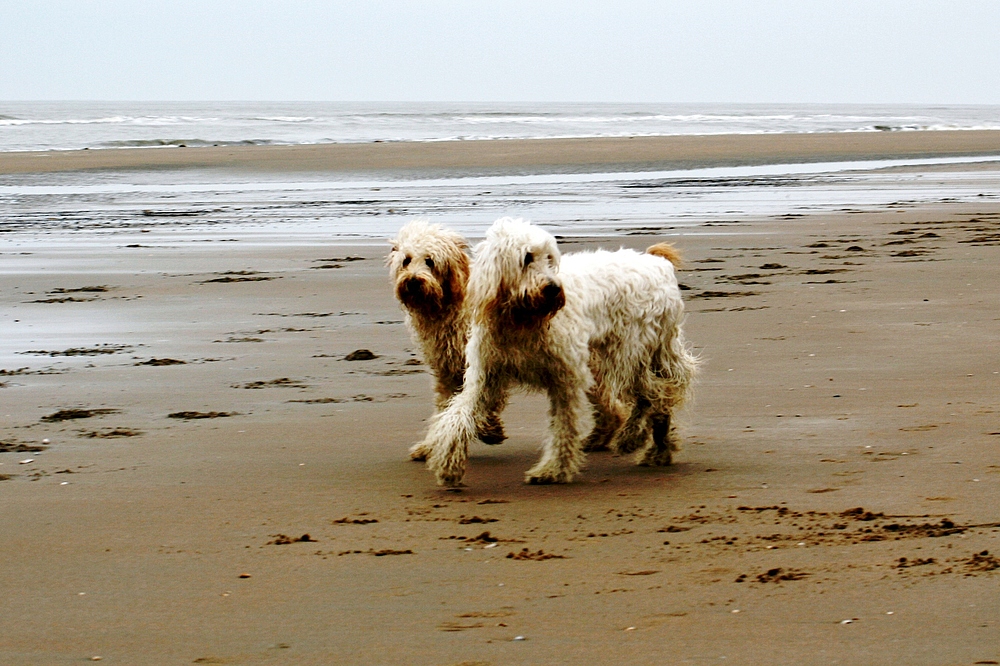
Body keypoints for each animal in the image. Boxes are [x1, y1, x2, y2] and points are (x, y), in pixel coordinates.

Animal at [386, 218, 504, 452]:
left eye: (430, 261)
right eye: (406, 260)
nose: (413, 281)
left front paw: (489, 428)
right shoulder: (446, 369)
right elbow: (444, 404)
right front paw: (430, 444)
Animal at [420, 217, 696, 482]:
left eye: (550, 259)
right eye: (527, 258)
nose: (553, 288)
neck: (520, 319)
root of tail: (659, 265)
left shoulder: (566, 377)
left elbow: (564, 426)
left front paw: (553, 470)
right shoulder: (485, 376)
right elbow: (458, 415)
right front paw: (448, 463)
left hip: (626, 353)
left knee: (657, 392)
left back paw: (633, 437)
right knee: (660, 392)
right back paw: (658, 449)